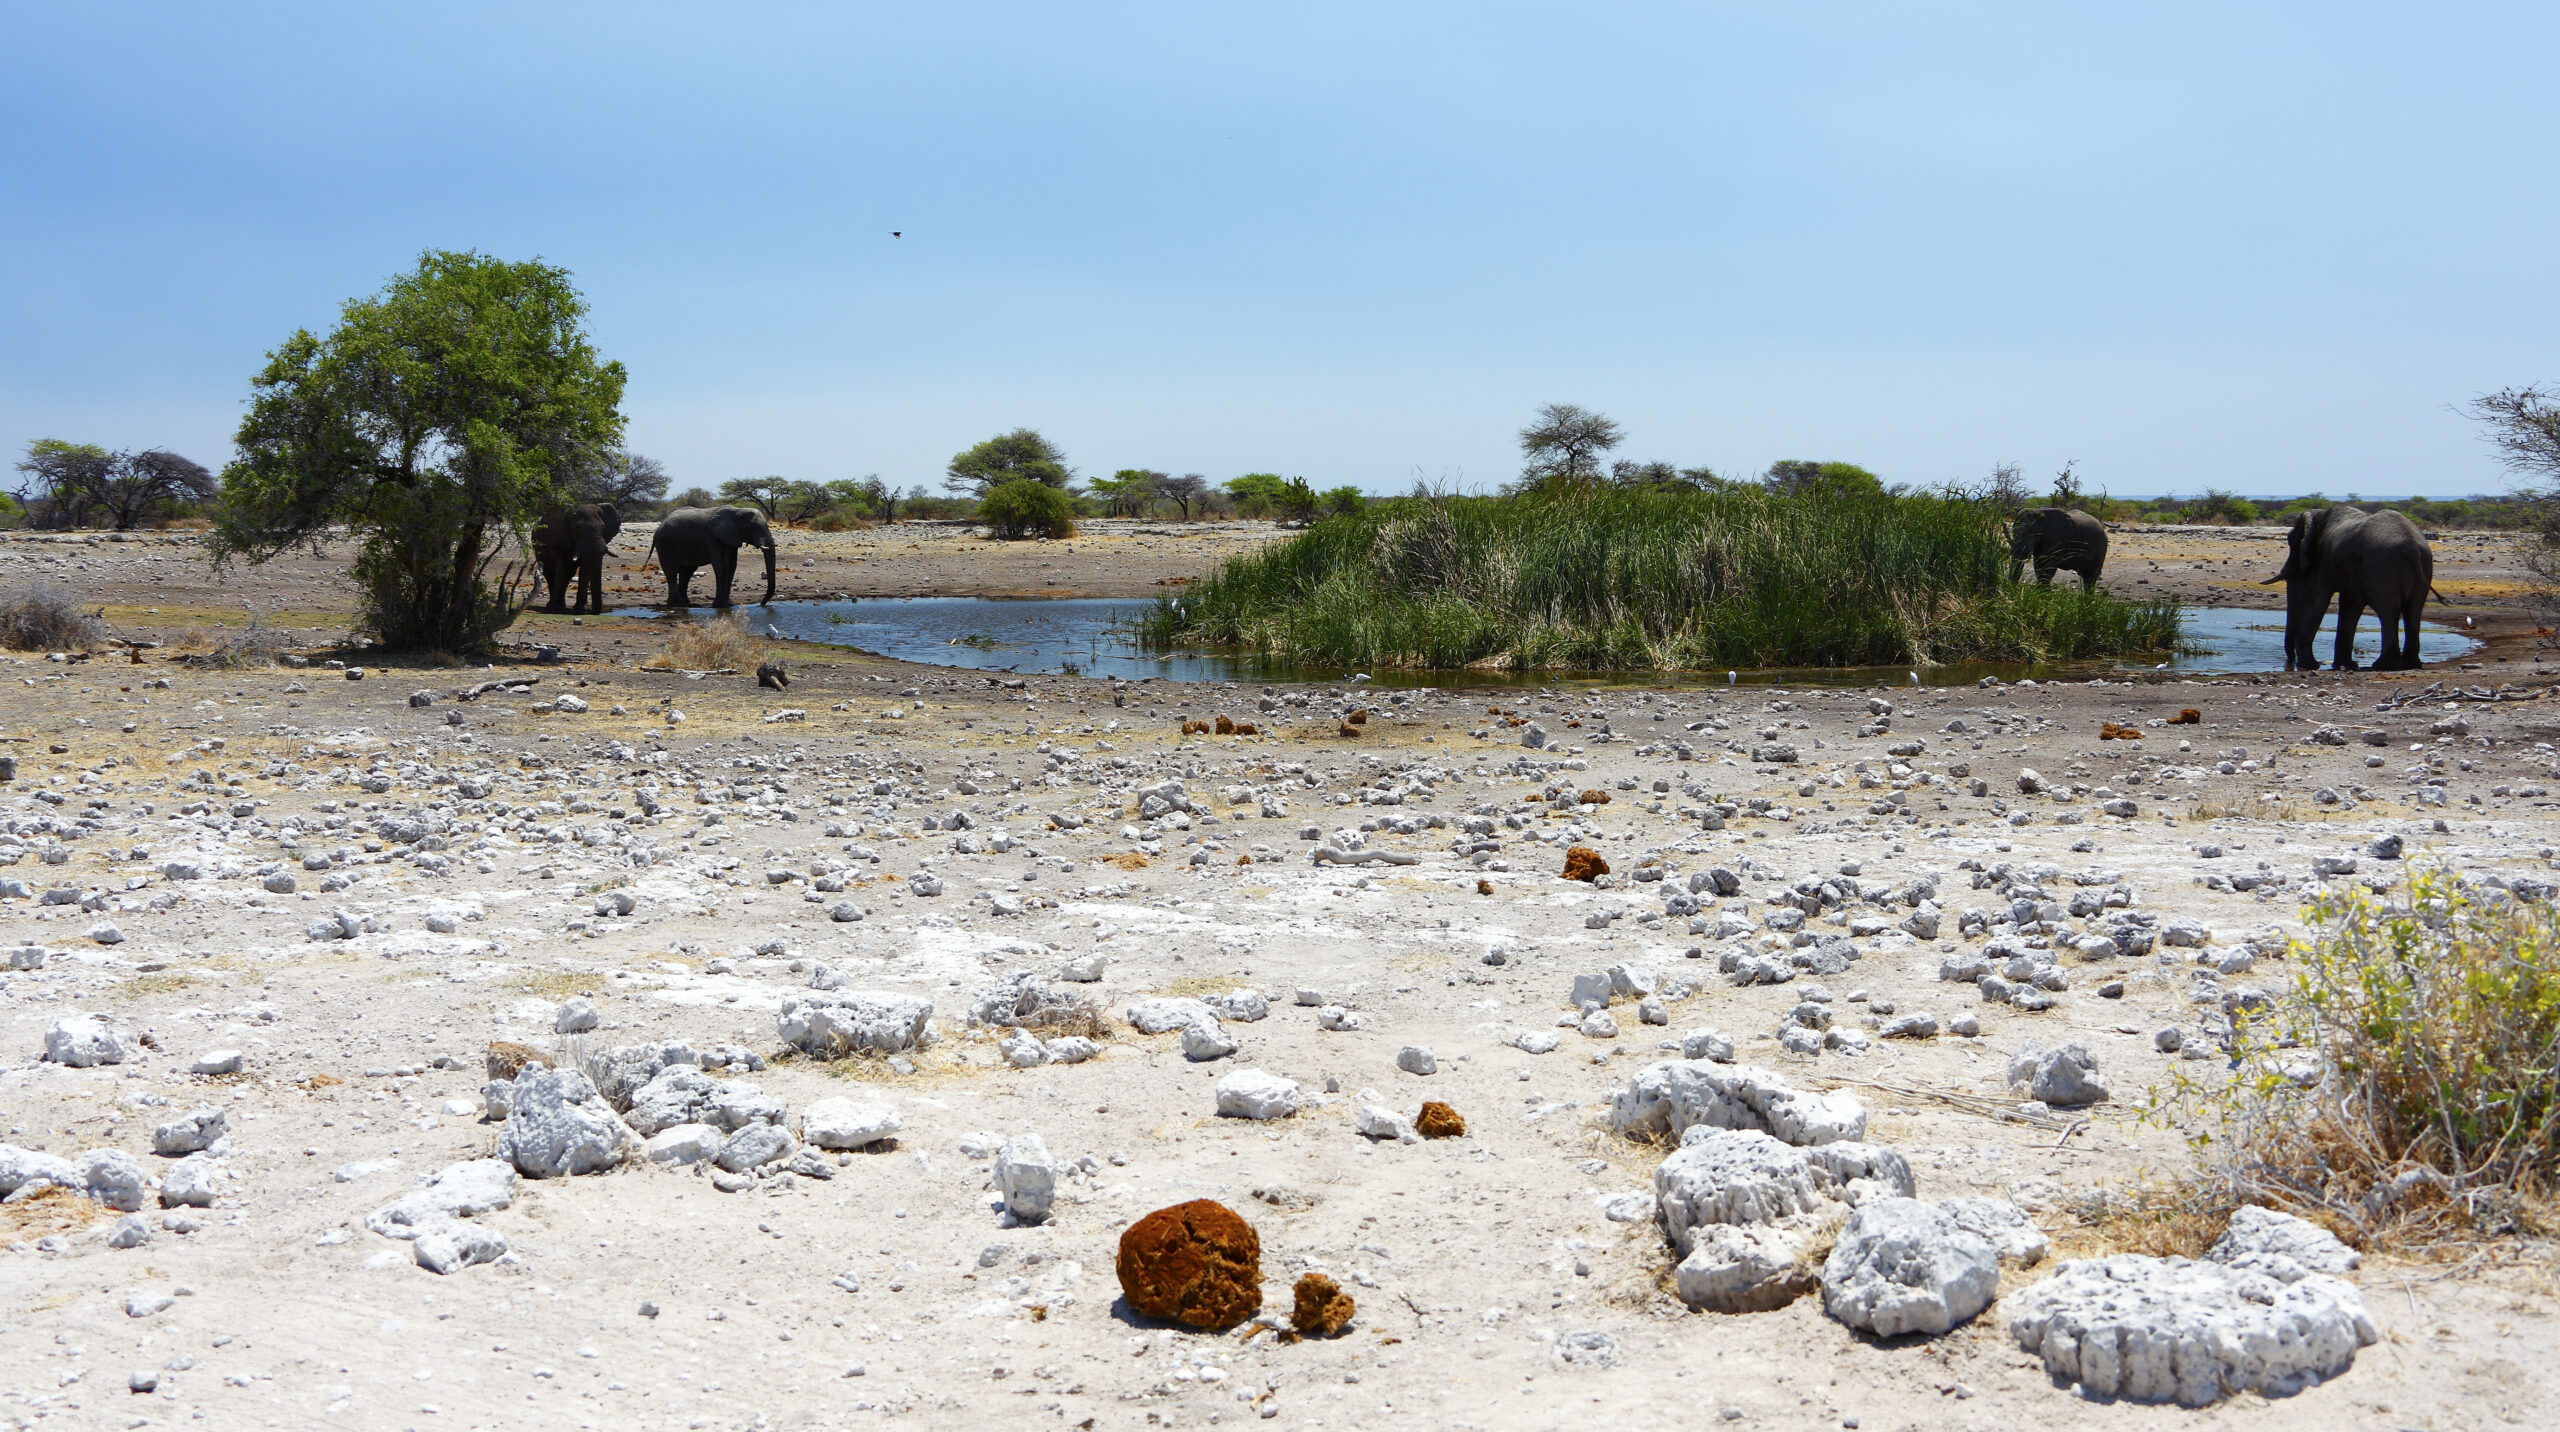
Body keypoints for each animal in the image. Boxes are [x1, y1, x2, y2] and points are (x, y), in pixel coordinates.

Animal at [2260, 506, 2434, 671]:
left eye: (2290, 541)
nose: (2289, 662)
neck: (2319, 515)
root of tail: (2413, 549)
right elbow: (2350, 605)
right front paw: (2344, 666)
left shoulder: (2324, 561)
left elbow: (2318, 600)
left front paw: (2308, 666)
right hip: (2422, 566)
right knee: (2413, 611)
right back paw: (2409, 664)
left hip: (2382, 568)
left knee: (2388, 611)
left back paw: (2384, 665)